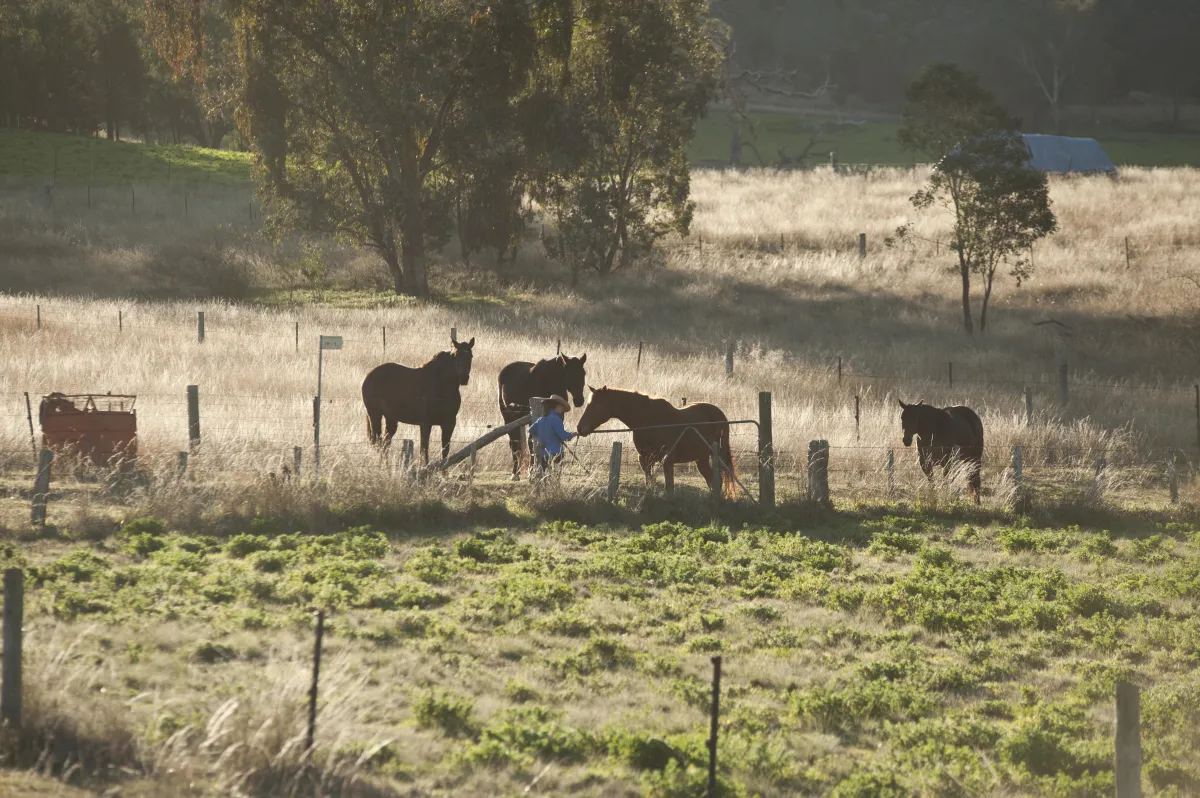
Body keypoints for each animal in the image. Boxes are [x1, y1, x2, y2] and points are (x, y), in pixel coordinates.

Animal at [362, 336, 475, 465]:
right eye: (455, 356)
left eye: (470, 356)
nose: (464, 378)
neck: (441, 386)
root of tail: (369, 375)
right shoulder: (426, 424)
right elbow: (424, 450)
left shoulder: (449, 424)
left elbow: (445, 451)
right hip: (375, 415)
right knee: (379, 443)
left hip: (390, 418)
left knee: (385, 444)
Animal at [576, 386, 736, 497]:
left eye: (596, 405)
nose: (579, 428)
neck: (647, 421)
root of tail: (720, 415)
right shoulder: (645, 459)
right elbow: (650, 482)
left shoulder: (667, 460)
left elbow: (668, 487)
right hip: (701, 458)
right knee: (712, 480)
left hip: (717, 455)